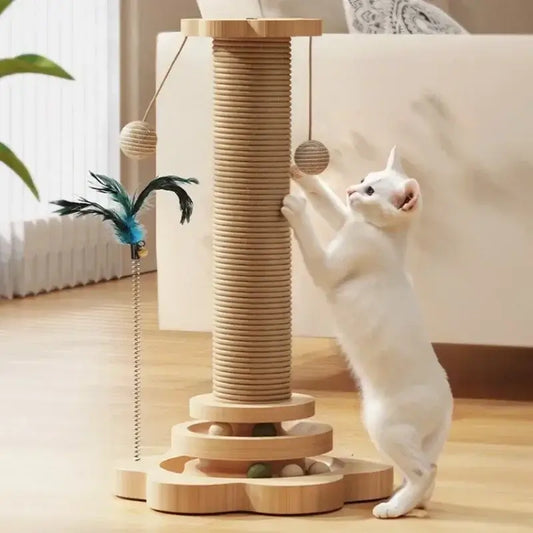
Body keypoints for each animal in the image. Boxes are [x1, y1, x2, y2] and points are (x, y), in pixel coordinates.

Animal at [280, 144, 450, 516]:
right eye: (362, 179)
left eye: (370, 191)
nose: (350, 190)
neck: (385, 236)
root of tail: (447, 402)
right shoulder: (346, 220)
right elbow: (327, 203)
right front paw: (300, 174)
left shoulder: (329, 266)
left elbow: (313, 241)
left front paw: (295, 207)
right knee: (426, 468)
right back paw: (411, 501)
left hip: (384, 426)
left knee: (426, 471)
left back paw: (393, 508)